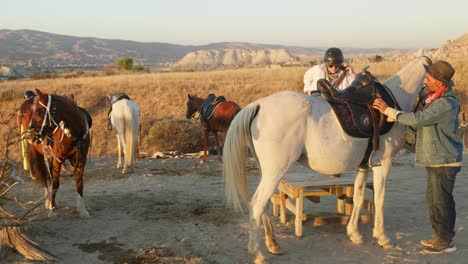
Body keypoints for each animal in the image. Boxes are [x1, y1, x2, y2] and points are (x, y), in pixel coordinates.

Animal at [17, 88, 91, 217]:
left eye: (39, 112)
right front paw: (52, 210)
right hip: (40, 155)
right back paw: (49, 201)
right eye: (34, 111)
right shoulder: (58, 160)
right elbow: (55, 184)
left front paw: (82, 210)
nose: (31, 134)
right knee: (46, 178)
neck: (75, 134)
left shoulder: (81, 160)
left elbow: (79, 183)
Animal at [224, 52, 436, 262]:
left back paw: (272, 244)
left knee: (265, 205)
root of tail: (258, 105)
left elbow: (358, 196)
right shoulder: (383, 164)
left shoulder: (364, 165)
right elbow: (380, 198)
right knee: (257, 204)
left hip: (268, 172)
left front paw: (354, 233)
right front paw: (382, 237)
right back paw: (258, 252)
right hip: (275, 172)